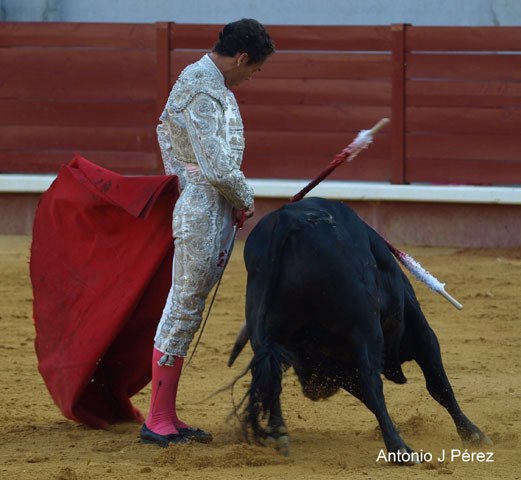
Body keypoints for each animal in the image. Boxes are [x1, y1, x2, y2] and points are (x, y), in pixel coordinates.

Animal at [229, 197, 492, 460]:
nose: (314, 390)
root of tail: (288, 218)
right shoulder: (420, 332)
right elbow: (438, 385)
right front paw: (473, 434)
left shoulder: (336, 365)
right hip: (366, 330)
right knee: (372, 381)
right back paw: (400, 449)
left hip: (268, 331)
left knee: (269, 371)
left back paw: (277, 433)